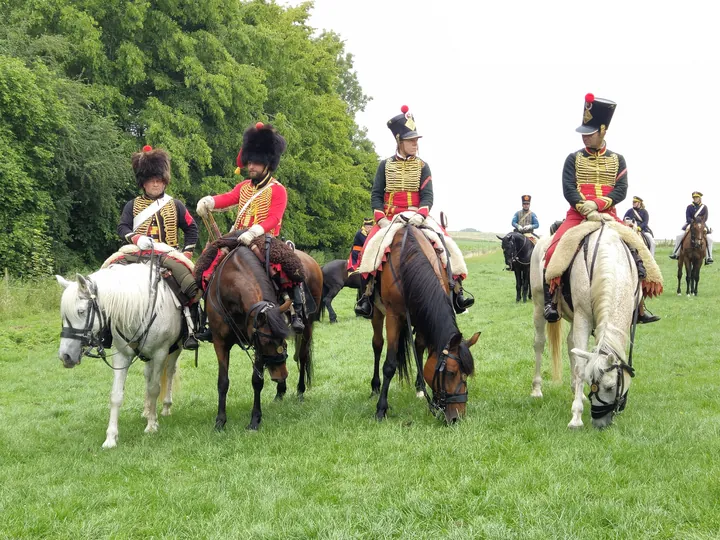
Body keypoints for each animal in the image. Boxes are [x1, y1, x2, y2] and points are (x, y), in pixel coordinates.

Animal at [57, 264, 184, 450]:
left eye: (81, 311)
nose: (65, 356)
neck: (141, 308)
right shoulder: (122, 356)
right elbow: (116, 396)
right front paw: (111, 437)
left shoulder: (160, 352)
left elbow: (154, 388)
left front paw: (152, 426)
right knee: (148, 375)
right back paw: (147, 410)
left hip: (174, 350)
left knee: (169, 372)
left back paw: (165, 407)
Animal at [205, 245, 324, 430]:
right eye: (267, 341)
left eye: (283, 342)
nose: (281, 375)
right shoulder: (221, 342)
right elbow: (223, 382)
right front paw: (220, 421)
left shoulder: (257, 346)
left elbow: (257, 381)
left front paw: (255, 419)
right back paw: (280, 392)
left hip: (308, 326)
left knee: (303, 357)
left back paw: (299, 391)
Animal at [368, 226, 480, 424]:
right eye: (450, 373)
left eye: (466, 374)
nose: (457, 417)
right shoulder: (393, 316)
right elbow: (389, 365)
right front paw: (381, 409)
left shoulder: (422, 314)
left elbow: (420, 349)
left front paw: (422, 387)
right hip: (377, 313)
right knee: (377, 344)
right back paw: (375, 387)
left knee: (418, 347)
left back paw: (419, 387)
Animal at [528, 221, 640, 428]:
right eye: (591, 382)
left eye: (610, 387)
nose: (600, 423)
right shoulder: (584, 317)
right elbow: (581, 367)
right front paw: (576, 417)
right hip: (539, 306)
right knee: (539, 343)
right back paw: (537, 389)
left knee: (571, 344)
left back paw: (574, 390)